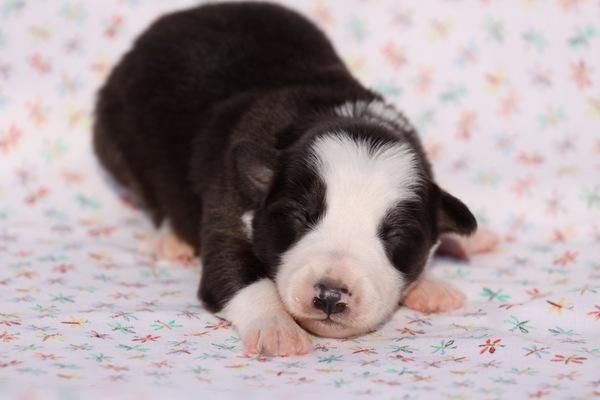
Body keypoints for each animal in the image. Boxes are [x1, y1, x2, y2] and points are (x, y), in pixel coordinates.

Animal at [93, 2, 497, 356]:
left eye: (395, 236)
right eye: (300, 217)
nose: (331, 295)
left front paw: (429, 284)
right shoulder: (228, 206)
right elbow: (238, 274)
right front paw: (277, 330)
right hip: (116, 143)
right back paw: (170, 239)